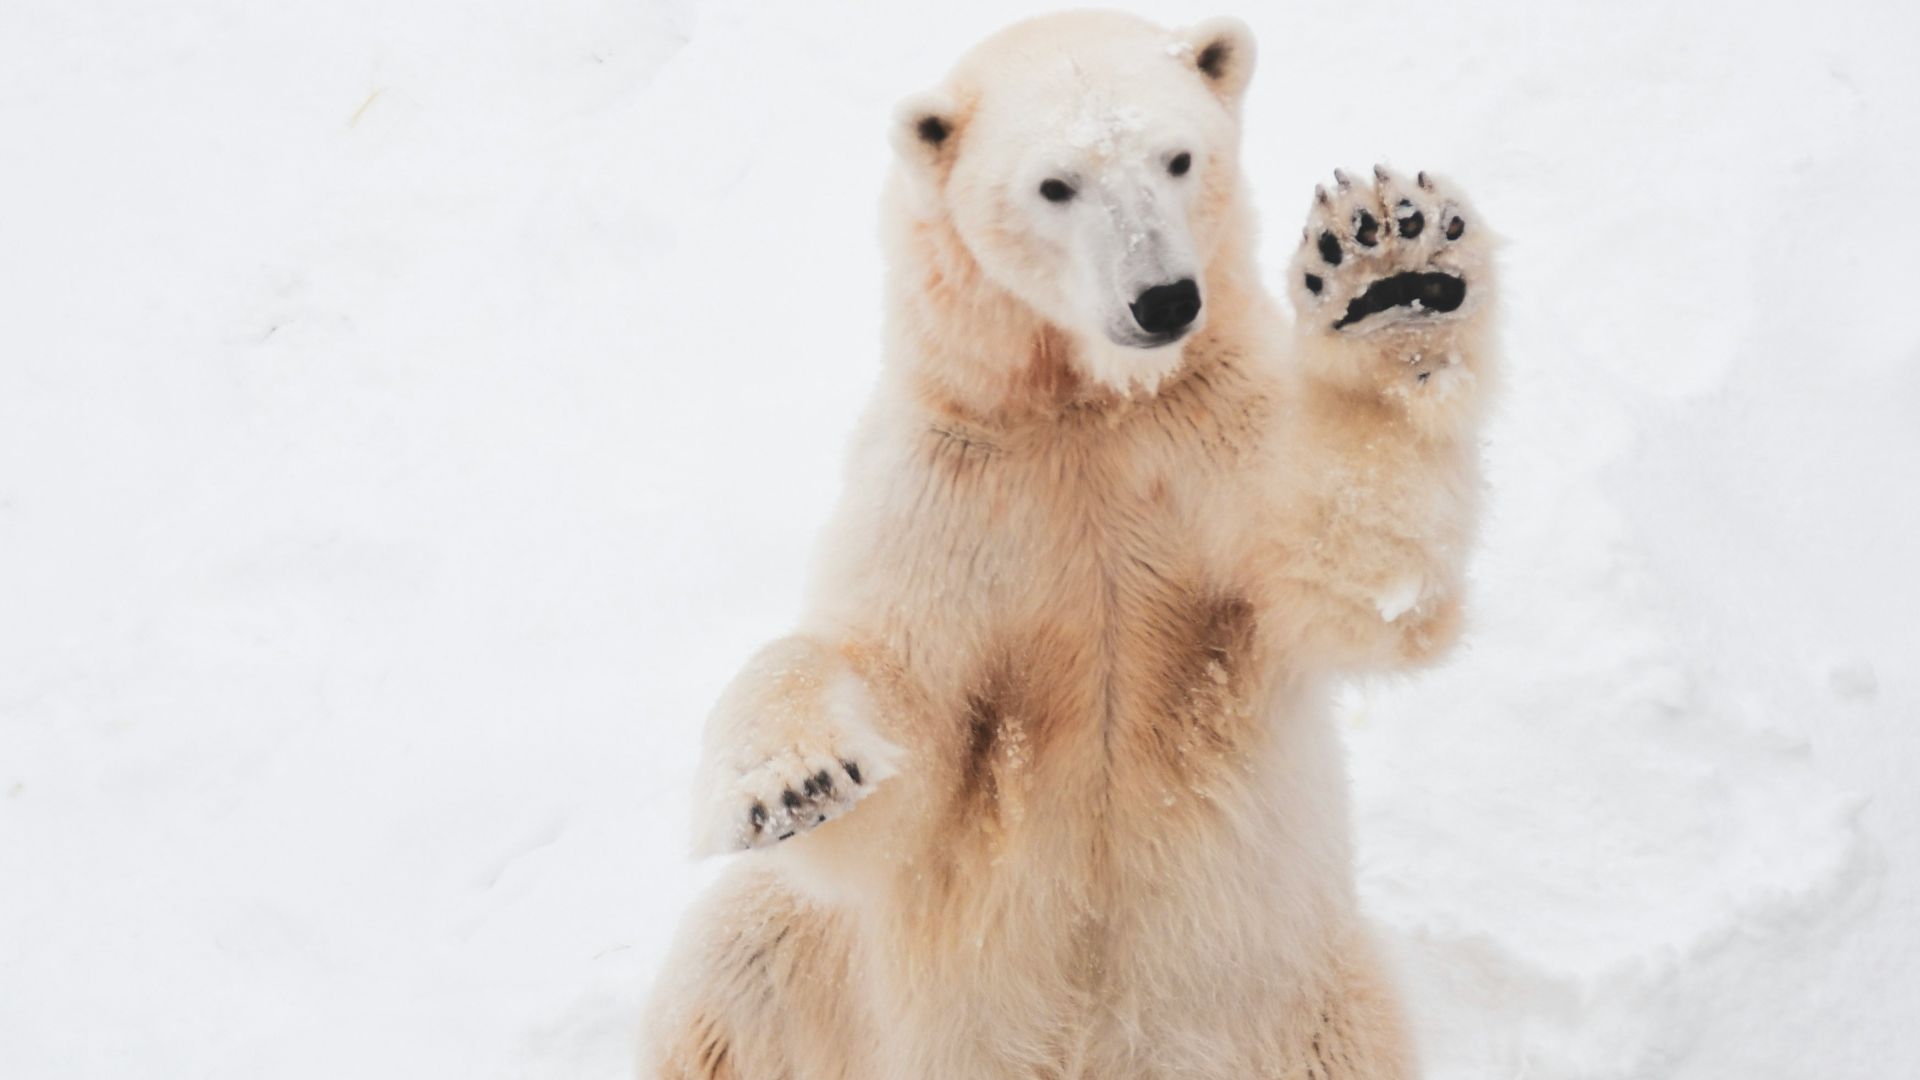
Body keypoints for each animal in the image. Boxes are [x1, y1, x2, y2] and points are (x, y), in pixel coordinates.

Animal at [641, 10, 1497, 1079]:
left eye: (1178, 156)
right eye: (1055, 185)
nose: (1165, 299)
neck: (1088, 411)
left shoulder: (1218, 438)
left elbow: (1354, 573)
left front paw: (1392, 280)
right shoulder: (954, 482)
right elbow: (896, 727)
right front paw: (794, 780)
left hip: (1305, 1000)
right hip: (837, 985)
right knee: (734, 967)